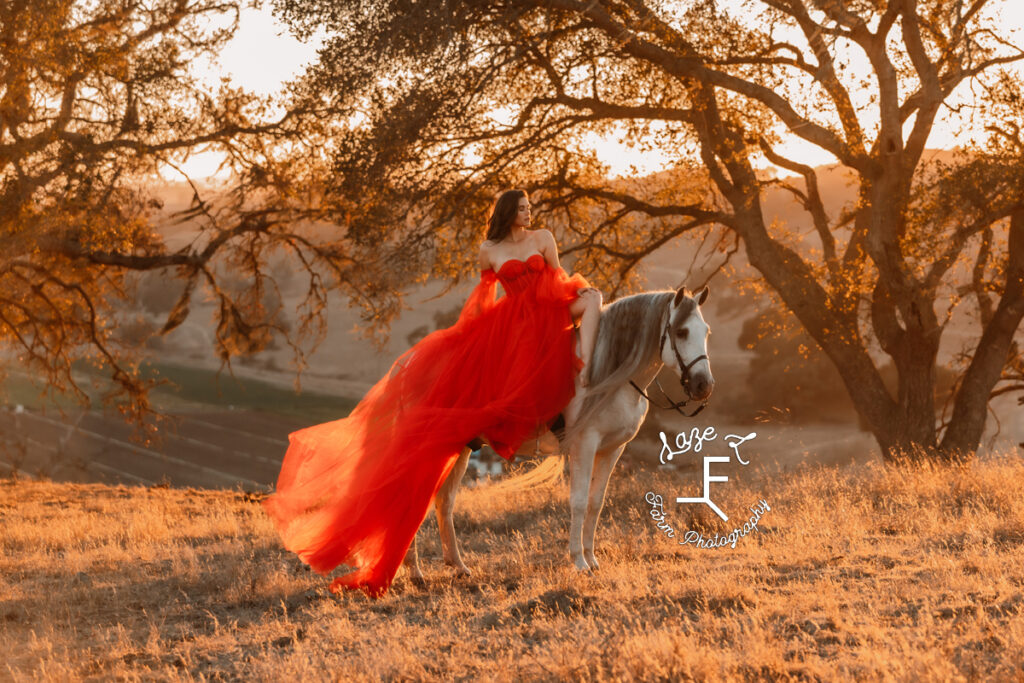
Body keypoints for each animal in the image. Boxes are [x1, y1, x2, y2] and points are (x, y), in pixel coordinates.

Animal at [399, 284, 712, 581]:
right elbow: (578, 502)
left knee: (444, 501)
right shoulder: (584, 445)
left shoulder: (612, 450)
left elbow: (595, 503)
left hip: (460, 449)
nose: (703, 386)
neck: (611, 375)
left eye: (706, 331)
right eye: (682, 332)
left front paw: (592, 559)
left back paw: (458, 566)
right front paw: (579, 562)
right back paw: (415, 572)